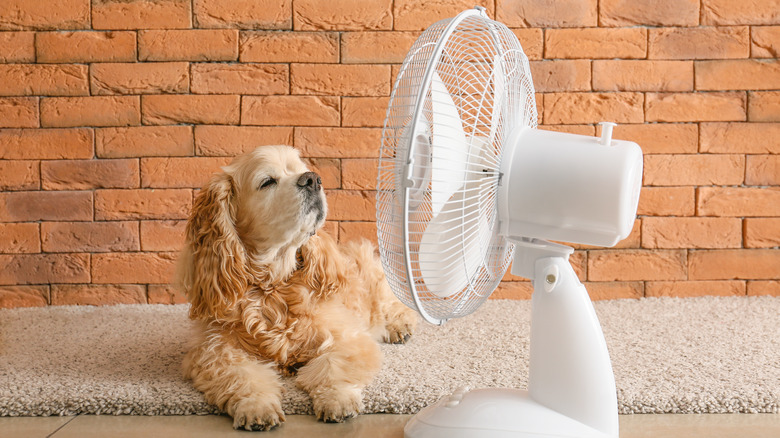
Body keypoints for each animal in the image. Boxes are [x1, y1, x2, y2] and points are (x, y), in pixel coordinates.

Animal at [179, 145, 418, 430]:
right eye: (267, 181)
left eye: (301, 169)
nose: (313, 179)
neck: (272, 287)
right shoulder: (215, 350)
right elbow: (244, 376)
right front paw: (256, 406)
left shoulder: (348, 338)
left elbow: (333, 367)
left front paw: (337, 400)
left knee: (393, 303)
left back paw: (399, 327)